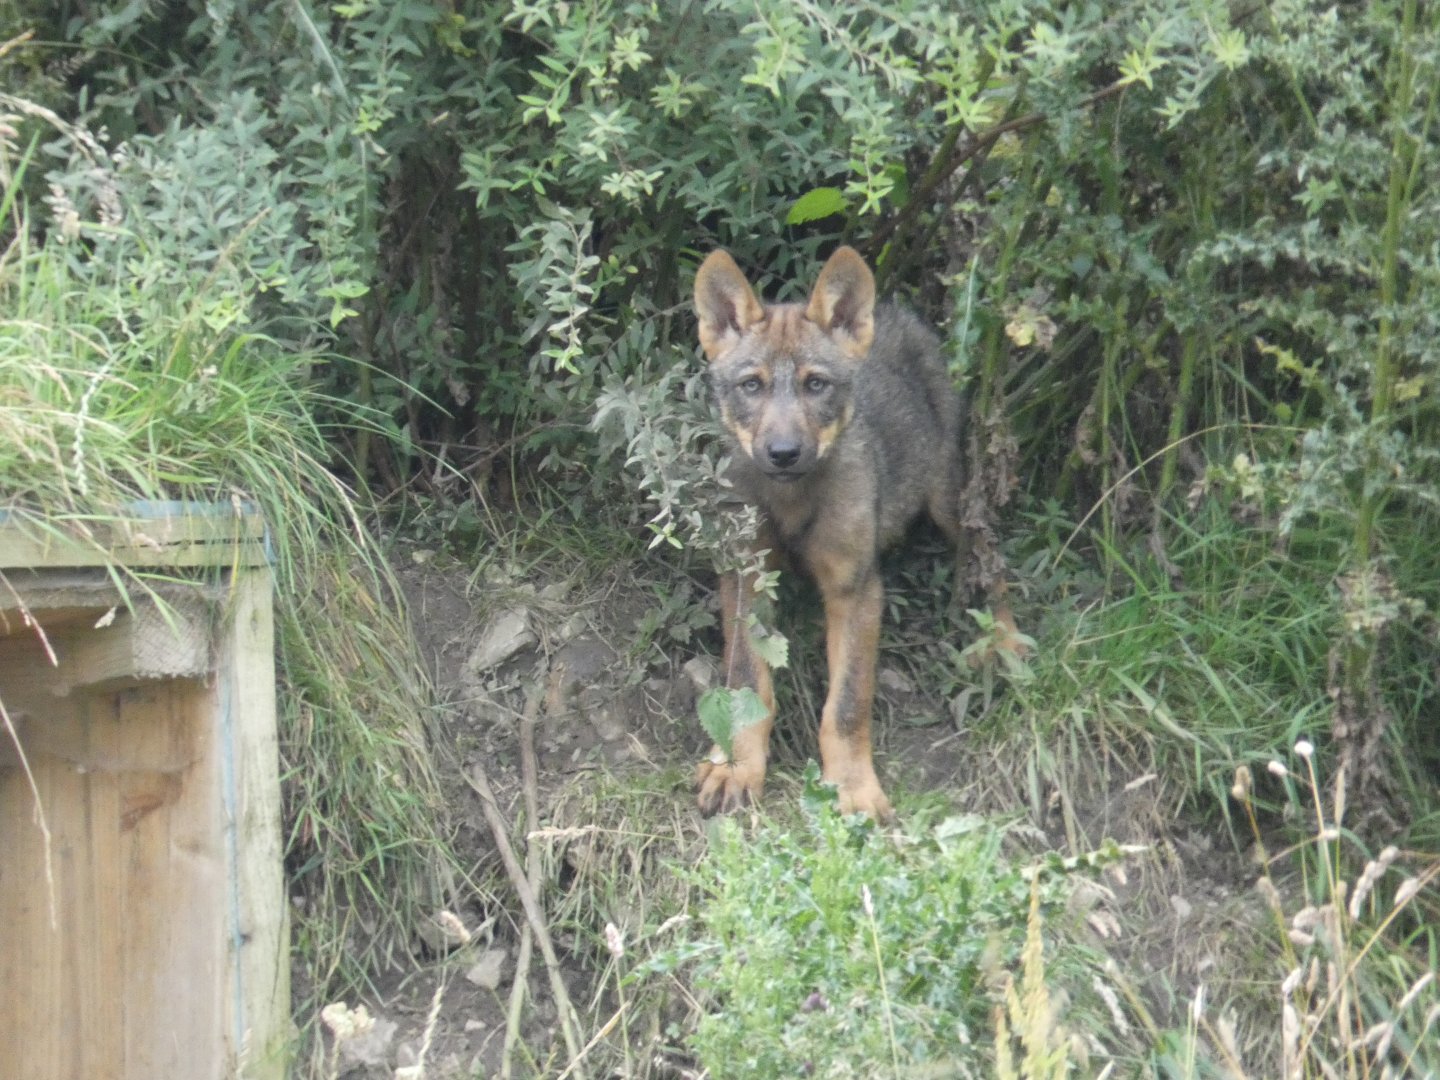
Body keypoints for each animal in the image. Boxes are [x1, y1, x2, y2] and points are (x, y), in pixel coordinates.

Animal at [692, 245, 988, 822]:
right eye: (752, 385)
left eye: (816, 384)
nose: (783, 453)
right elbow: (746, 683)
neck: (792, 503)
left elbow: (848, 704)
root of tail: (898, 312)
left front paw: (851, 786)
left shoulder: (855, 590)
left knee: (992, 565)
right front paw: (737, 766)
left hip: (950, 503)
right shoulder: (745, 579)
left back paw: (1003, 643)